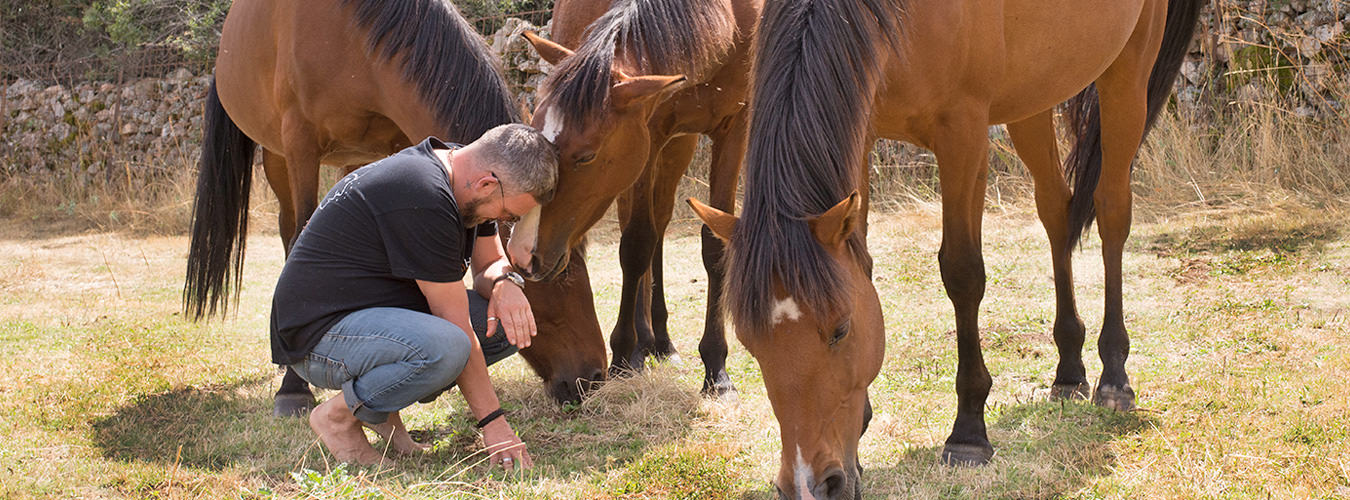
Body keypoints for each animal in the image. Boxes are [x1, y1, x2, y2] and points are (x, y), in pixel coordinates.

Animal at [182, 0, 604, 413]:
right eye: (550, 276)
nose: (594, 376)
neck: (351, 36)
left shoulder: (398, 139)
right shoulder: (299, 144)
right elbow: (303, 230)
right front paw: (293, 389)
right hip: (276, 156)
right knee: (292, 233)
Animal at [504, 0, 761, 397]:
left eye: (586, 156)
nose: (524, 253)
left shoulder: (734, 126)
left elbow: (714, 245)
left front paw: (716, 369)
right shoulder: (647, 133)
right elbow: (636, 244)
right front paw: (624, 353)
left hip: (678, 146)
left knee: (661, 221)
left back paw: (662, 342)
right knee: (644, 232)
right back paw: (644, 343)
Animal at [691, 0, 1198, 497]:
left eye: (840, 330)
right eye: (749, 342)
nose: (810, 485)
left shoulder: (963, 133)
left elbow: (962, 273)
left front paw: (969, 433)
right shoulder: (864, 129)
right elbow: (863, 266)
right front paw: (860, 442)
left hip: (1126, 72)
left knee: (1112, 211)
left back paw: (1114, 377)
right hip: (1032, 97)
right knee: (1056, 209)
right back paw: (1069, 371)